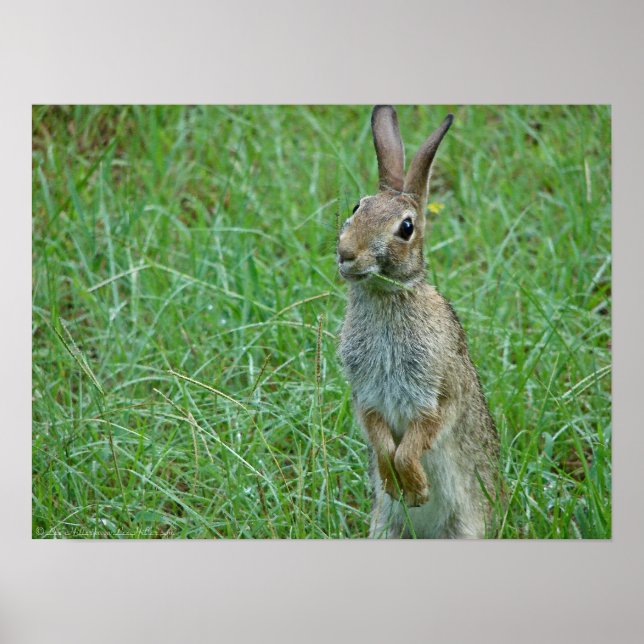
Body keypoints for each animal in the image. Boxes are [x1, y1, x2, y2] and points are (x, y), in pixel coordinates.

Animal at [337, 105, 500, 538]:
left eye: (406, 228)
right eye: (357, 208)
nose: (346, 253)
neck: (386, 296)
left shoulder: (438, 390)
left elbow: (417, 439)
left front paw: (414, 487)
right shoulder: (366, 394)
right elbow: (379, 437)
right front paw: (396, 482)